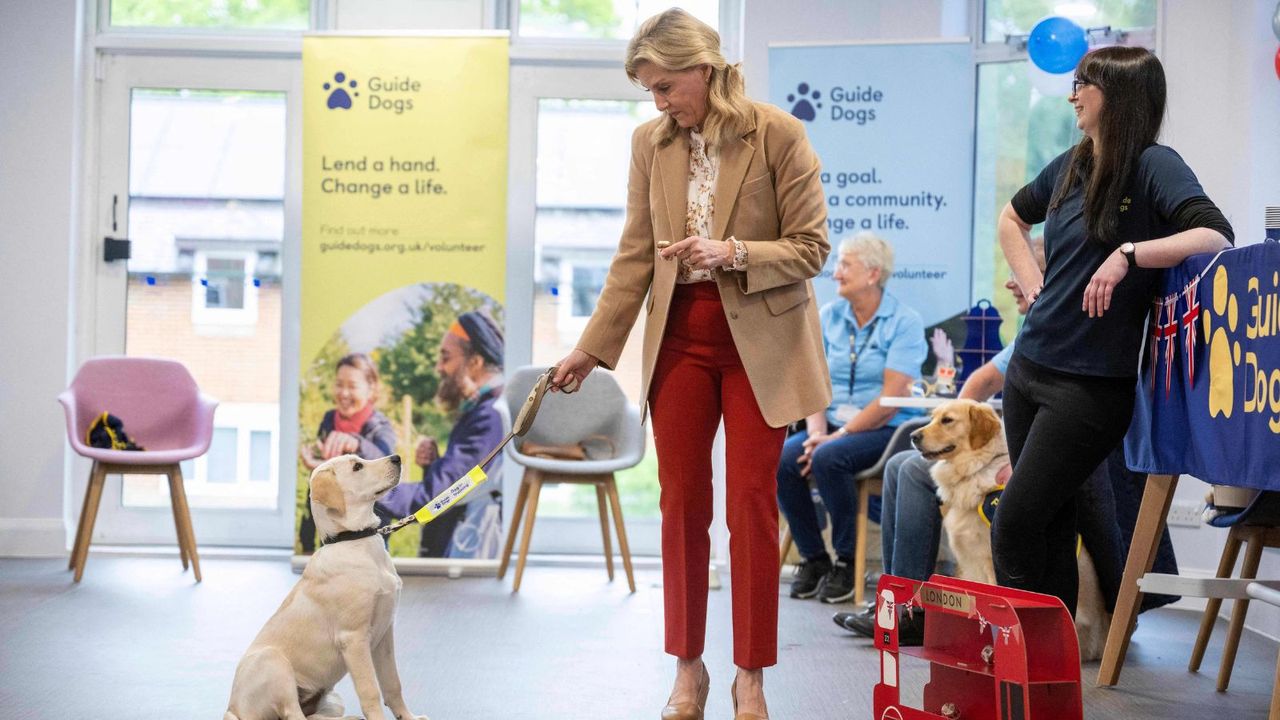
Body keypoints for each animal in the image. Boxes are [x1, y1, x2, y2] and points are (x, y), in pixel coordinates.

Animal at [225, 453, 430, 717]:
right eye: (357, 467)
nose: (397, 458)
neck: (354, 540)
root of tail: (232, 709)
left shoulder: (385, 633)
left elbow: (393, 684)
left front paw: (409, 717)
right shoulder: (353, 639)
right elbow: (371, 691)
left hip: (331, 698)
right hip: (273, 662)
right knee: (293, 714)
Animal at [911, 399, 1111, 661]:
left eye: (947, 420)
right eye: (933, 417)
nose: (913, 436)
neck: (976, 468)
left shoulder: (991, 562)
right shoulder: (970, 565)